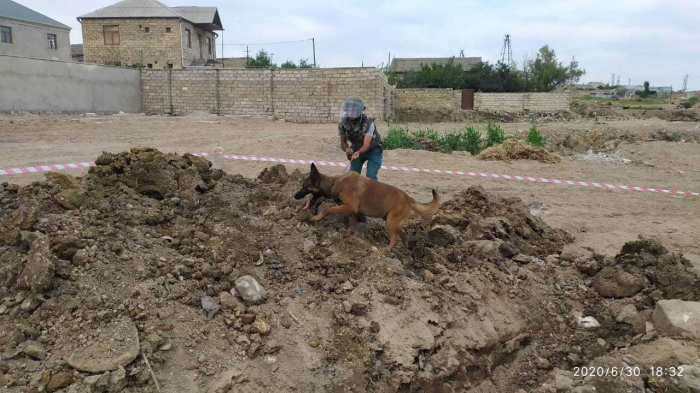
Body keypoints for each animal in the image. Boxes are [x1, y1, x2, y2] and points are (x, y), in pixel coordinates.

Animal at [294, 163, 438, 251]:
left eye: (304, 186)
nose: (295, 196)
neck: (334, 182)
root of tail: (409, 198)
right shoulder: (352, 210)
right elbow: (352, 223)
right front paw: (347, 235)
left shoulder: (350, 206)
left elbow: (327, 209)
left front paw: (316, 217)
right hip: (390, 220)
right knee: (401, 233)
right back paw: (407, 247)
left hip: (390, 222)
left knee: (394, 239)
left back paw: (386, 250)